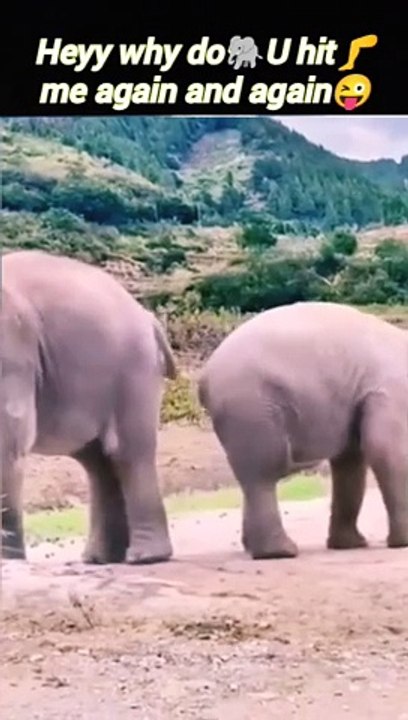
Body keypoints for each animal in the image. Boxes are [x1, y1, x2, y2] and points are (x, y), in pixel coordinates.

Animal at [1, 250, 178, 565]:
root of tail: (148, 318)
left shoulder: (12, 350)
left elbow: (9, 438)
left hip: (133, 369)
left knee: (127, 453)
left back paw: (144, 557)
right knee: (98, 462)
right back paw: (100, 559)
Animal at [197, 301, 408, 560]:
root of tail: (204, 376)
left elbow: (350, 460)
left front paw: (349, 545)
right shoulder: (392, 392)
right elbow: (386, 451)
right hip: (251, 404)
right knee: (264, 472)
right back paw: (280, 552)